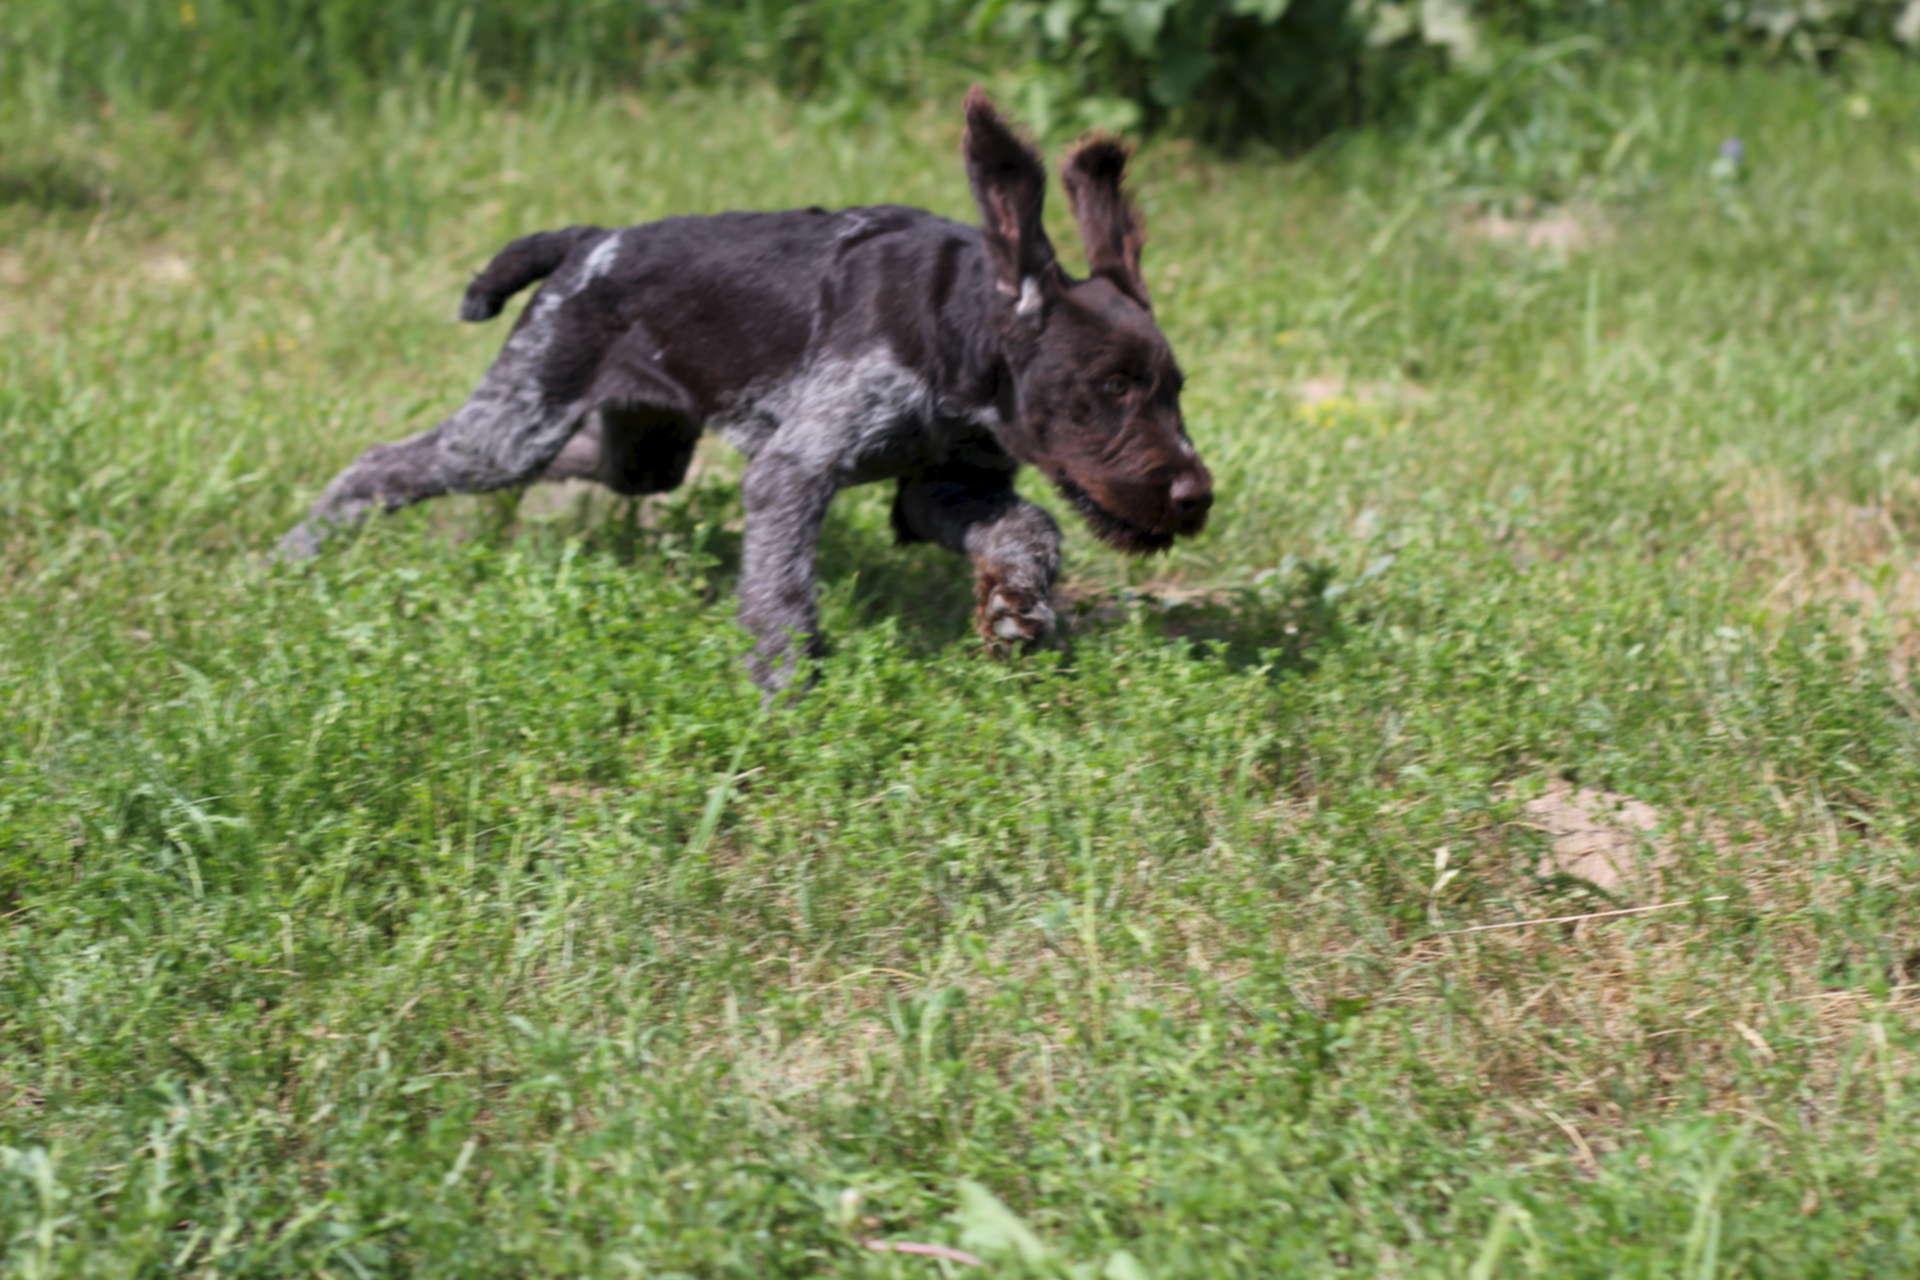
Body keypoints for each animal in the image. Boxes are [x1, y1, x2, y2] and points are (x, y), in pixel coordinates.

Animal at [280, 92, 1213, 690]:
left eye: (1174, 391)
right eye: (1111, 386)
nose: (1196, 497)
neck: (958, 327)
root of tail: (590, 240)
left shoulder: (947, 485)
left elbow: (1032, 528)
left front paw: (1017, 609)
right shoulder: (794, 471)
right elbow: (781, 590)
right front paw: (784, 689)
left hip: (635, 446)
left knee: (588, 459)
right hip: (511, 428)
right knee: (383, 464)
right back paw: (301, 550)